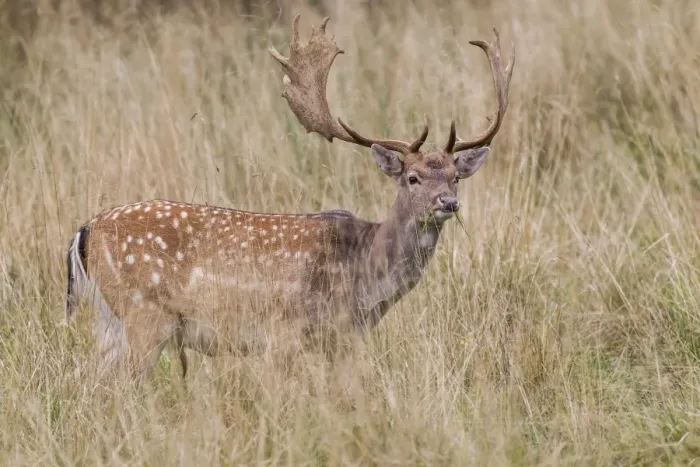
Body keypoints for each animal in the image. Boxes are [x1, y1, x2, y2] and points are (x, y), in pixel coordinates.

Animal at [64, 15, 515, 383]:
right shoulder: (285, 335)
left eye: (455, 177)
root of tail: (85, 231)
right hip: (145, 314)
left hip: (112, 320)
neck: (363, 275)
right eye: (412, 177)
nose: (448, 203)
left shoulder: (343, 339)